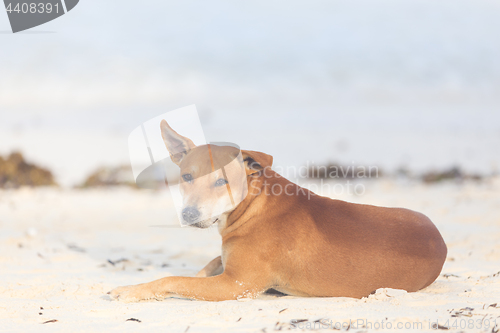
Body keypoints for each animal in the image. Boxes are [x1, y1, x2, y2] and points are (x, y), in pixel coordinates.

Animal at [108, 120, 446, 300]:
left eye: (222, 181)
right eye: (187, 177)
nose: (189, 215)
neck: (252, 206)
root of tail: (440, 241)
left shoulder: (235, 285)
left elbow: (175, 280)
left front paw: (130, 290)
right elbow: (207, 265)